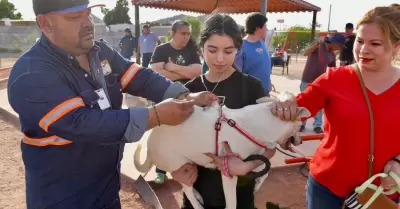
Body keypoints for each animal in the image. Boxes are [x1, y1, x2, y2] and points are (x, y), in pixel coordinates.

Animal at [133, 94, 310, 209]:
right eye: (300, 124)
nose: (301, 141)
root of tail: (149, 144)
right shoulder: (229, 172)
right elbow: (232, 203)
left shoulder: (254, 158)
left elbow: (265, 171)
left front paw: (257, 185)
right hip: (181, 165)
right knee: (187, 190)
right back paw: (197, 204)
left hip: (191, 163)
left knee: (186, 186)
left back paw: (198, 195)